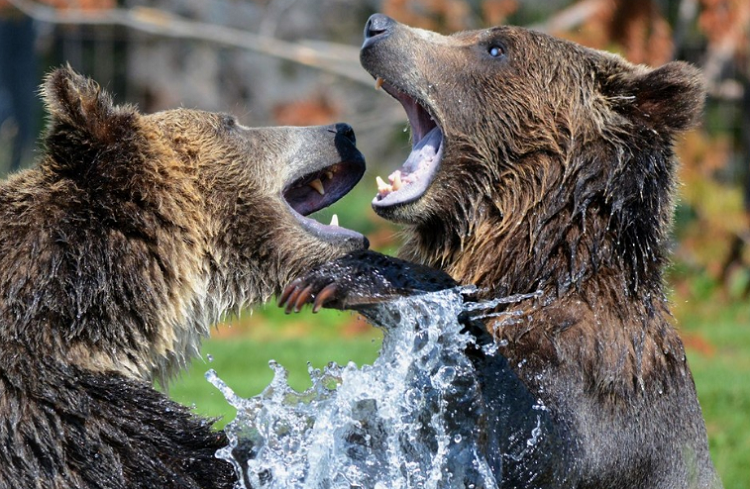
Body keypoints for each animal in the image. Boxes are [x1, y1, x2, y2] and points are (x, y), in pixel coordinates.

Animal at [281, 14, 722, 489]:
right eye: (467, 34)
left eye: (495, 48)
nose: (378, 26)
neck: (536, 266)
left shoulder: (599, 385)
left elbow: (532, 436)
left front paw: (345, 277)